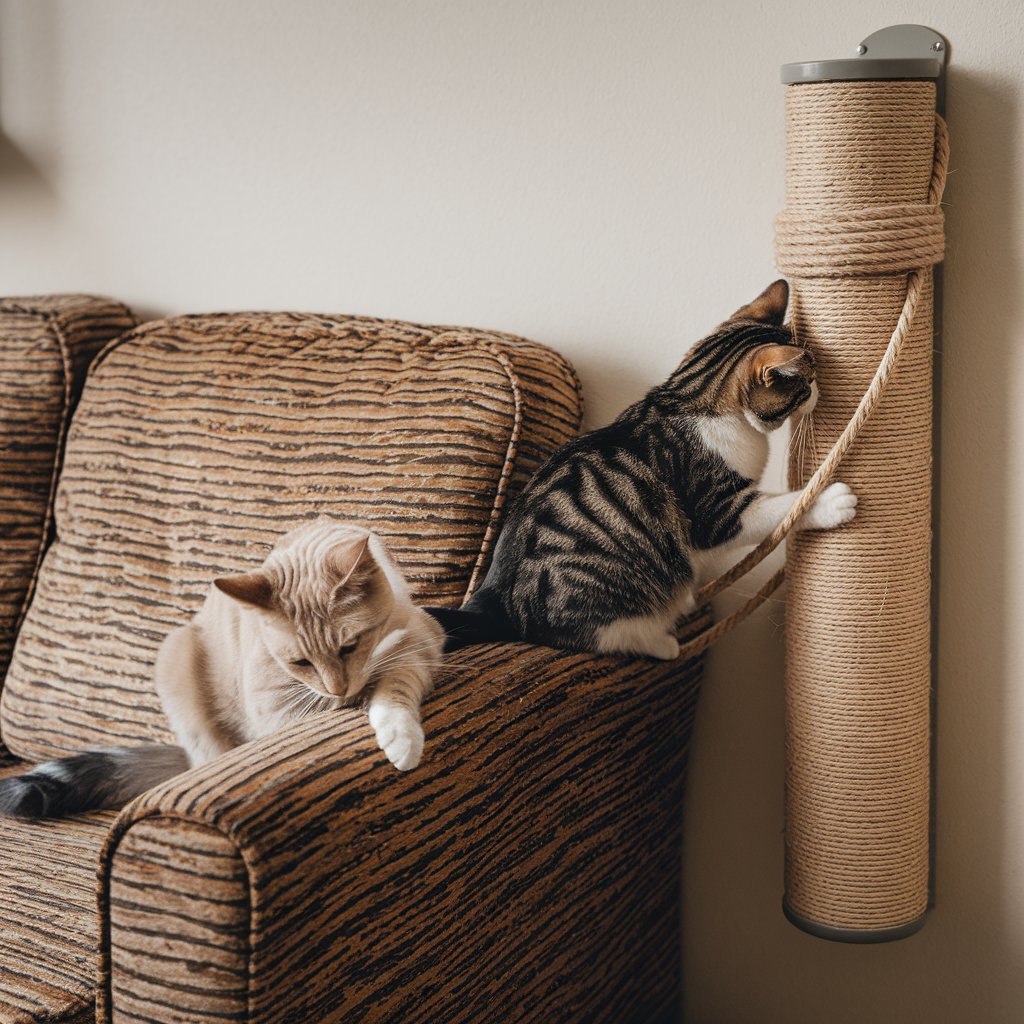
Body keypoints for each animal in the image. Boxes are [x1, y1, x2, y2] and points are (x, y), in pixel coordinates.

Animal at [0, 516, 444, 819]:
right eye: (300, 662)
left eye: (349, 645)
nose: (339, 688)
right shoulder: (276, 711)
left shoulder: (423, 642)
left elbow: (395, 685)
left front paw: (400, 738)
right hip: (177, 664)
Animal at [425, 280, 856, 659]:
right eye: (805, 383)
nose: (819, 392)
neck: (692, 400)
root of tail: (494, 602)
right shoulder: (716, 510)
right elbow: (776, 509)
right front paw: (830, 501)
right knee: (595, 634)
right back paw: (660, 641)